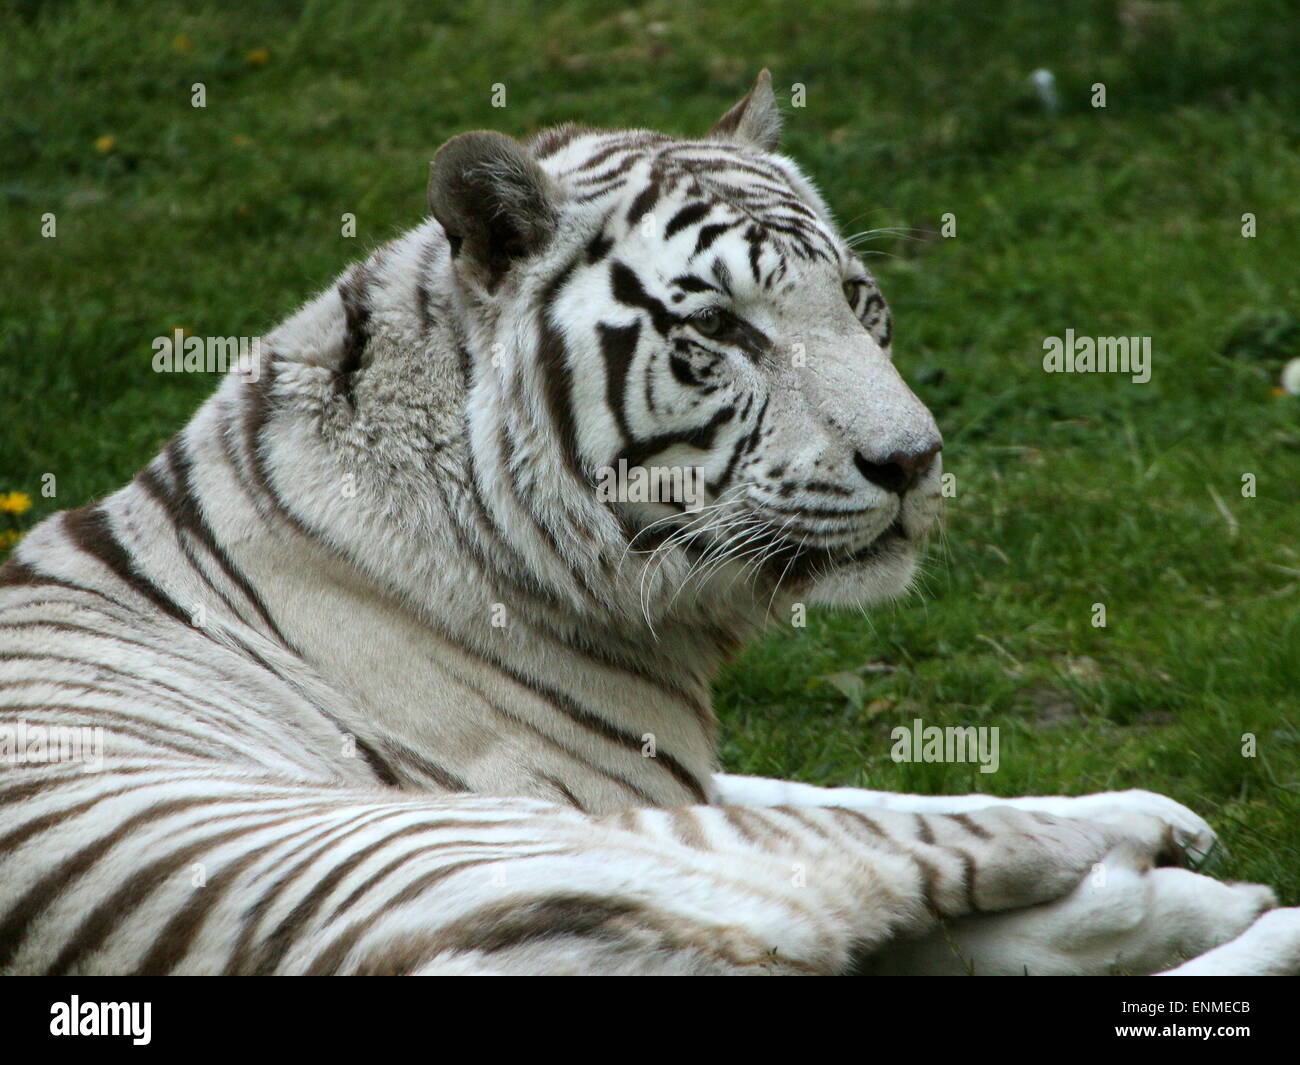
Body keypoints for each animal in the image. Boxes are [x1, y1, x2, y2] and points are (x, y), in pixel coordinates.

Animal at [2, 70, 1300, 977]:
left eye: (859, 302)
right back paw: (1231, 909)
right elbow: (885, 813)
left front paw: (1149, 811)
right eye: (721, 329)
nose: (913, 463)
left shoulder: (664, 774)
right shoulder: (620, 790)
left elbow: (855, 788)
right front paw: (1150, 847)